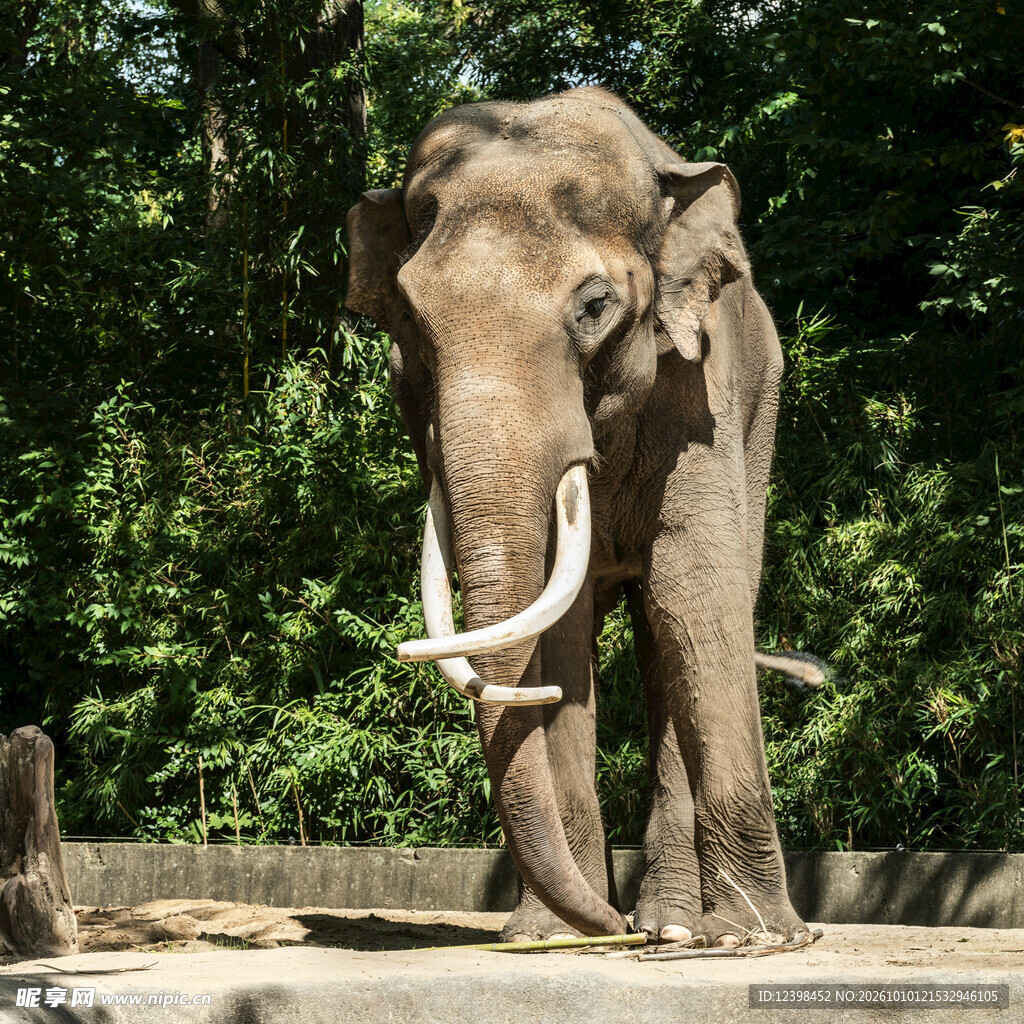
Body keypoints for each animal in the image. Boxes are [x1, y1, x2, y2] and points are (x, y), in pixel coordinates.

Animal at [346, 86, 813, 947]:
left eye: (594, 307)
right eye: (412, 324)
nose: (613, 927)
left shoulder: (702, 390)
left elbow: (696, 590)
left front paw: (756, 938)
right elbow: (555, 627)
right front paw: (549, 935)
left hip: (764, 412)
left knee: (675, 628)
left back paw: (680, 928)